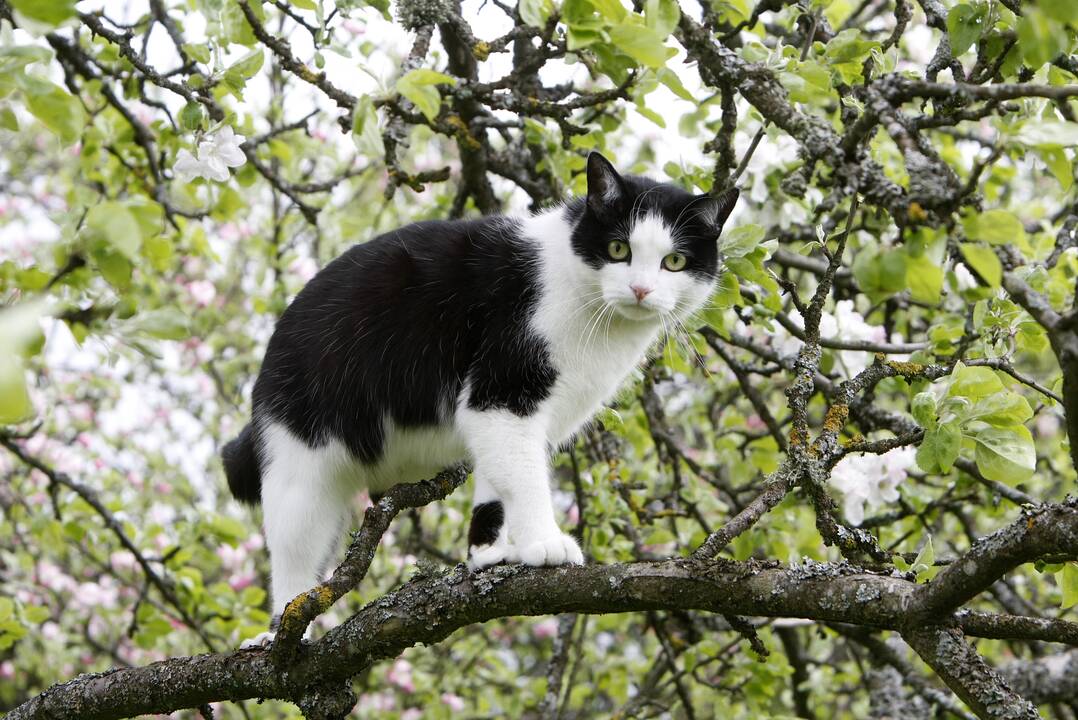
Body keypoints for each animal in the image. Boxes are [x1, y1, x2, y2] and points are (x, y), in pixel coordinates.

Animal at [223, 150, 737, 642]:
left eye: (674, 262)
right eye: (618, 249)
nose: (641, 289)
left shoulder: (518, 419)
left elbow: (498, 484)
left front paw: (489, 556)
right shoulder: (502, 392)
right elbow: (525, 479)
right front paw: (544, 543)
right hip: (301, 466)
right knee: (294, 559)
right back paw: (280, 635)